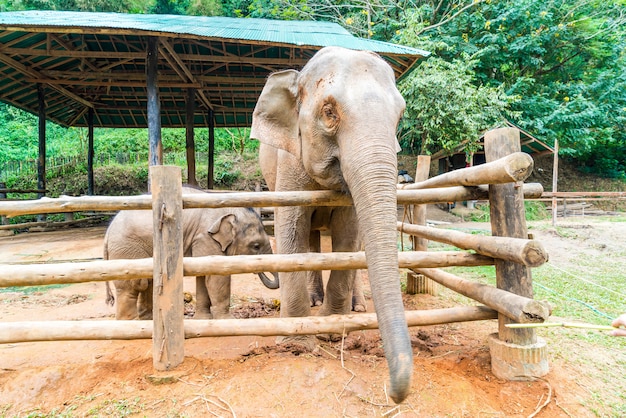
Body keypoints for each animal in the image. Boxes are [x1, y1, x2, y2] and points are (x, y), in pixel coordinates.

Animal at [104, 186, 276, 320]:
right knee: (133, 285)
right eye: (256, 246)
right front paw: (228, 320)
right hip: (126, 249)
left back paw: (147, 320)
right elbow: (216, 277)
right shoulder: (205, 237)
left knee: (146, 282)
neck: (227, 210)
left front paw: (203, 319)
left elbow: (203, 276)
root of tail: (107, 232)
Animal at [251, 46, 412, 404]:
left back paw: (356, 305)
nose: (393, 393)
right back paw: (314, 301)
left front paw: (332, 330)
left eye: (399, 116)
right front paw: (296, 342)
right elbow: (290, 232)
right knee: (310, 239)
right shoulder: (289, 163)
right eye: (328, 112)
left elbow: (347, 235)